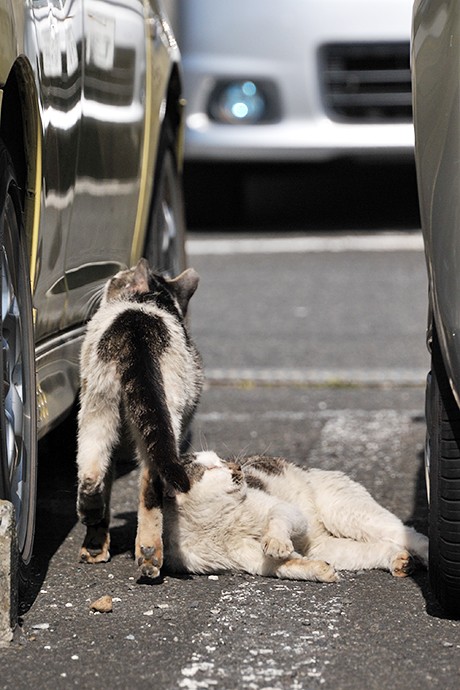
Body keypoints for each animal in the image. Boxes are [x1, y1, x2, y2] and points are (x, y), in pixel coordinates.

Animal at [77, 258, 203, 576]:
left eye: (118, 279)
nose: (110, 277)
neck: (154, 299)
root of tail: (137, 325)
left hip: (99, 405)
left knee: (101, 473)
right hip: (154, 415)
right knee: (141, 479)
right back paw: (147, 553)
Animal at [164, 448, 430, 576]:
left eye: (221, 460)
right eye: (211, 468)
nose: (237, 466)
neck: (217, 521)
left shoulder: (284, 509)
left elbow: (277, 521)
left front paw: (275, 541)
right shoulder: (248, 559)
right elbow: (289, 565)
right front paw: (320, 571)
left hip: (349, 513)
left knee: (407, 533)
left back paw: (426, 552)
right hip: (330, 547)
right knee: (379, 548)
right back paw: (400, 561)